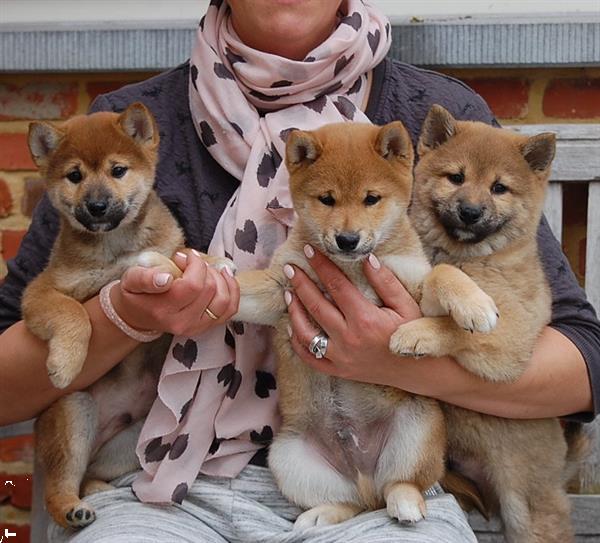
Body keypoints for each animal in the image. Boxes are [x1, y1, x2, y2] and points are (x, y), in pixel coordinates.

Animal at [24, 104, 183, 528]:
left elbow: (181, 258)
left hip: (138, 440)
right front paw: (65, 363)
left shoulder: (167, 250)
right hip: (74, 414)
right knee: (59, 487)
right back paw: (72, 508)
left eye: (118, 170)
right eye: (75, 176)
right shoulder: (42, 292)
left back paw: (98, 489)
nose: (96, 206)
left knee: (91, 473)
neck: (114, 247)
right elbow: (72, 313)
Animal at [233, 121, 496, 528]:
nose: (347, 239)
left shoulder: (413, 288)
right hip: (288, 458)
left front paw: (474, 305)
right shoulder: (282, 285)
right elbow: (241, 286)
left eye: (372, 199)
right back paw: (322, 515)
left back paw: (405, 503)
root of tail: (363, 470)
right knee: (356, 502)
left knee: (399, 485)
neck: (351, 269)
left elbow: (444, 274)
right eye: (326, 199)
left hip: (419, 426)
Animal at [400, 103, 576, 543]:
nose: (470, 212)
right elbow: (438, 276)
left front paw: (424, 331)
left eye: (499, 188)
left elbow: (458, 325)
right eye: (456, 177)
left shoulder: (510, 342)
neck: (470, 257)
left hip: (525, 507)